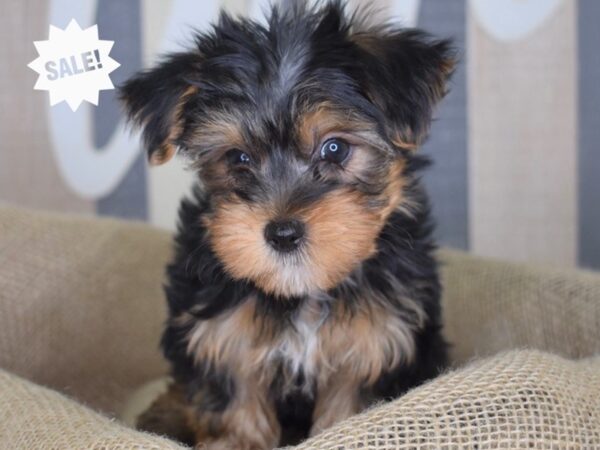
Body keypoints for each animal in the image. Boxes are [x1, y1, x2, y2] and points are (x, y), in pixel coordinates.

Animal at [119, 1, 452, 448]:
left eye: (335, 148)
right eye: (237, 158)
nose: (282, 233)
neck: (301, 292)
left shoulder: (374, 342)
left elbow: (349, 418)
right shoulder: (224, 338)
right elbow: (236, 410)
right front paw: (234, 439)